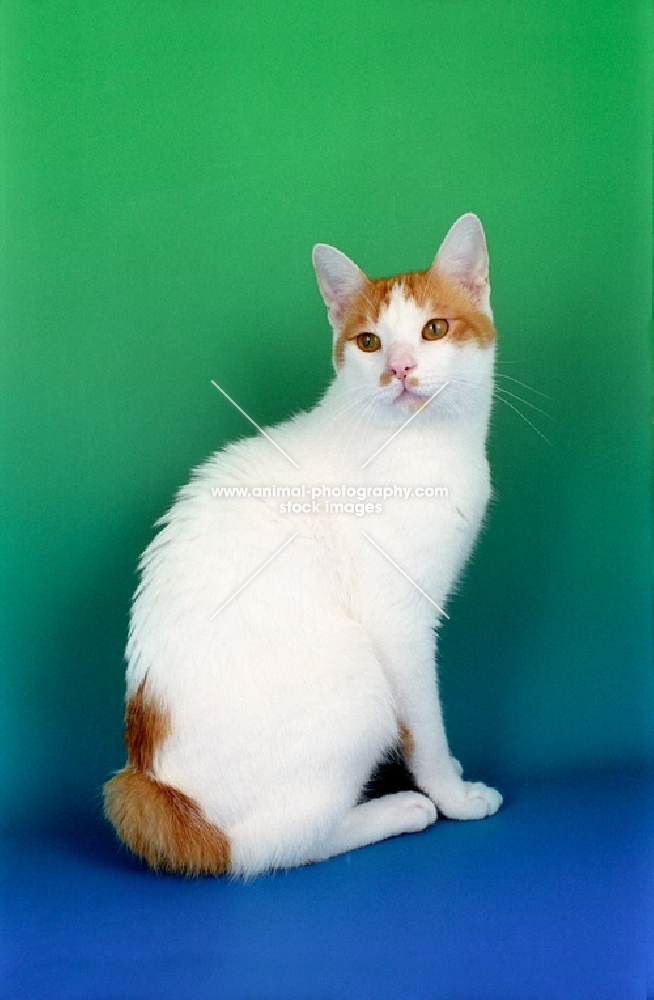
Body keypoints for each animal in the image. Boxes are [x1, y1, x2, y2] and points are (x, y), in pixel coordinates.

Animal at [104, 213, 502, 876]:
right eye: (368, 343)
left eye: (435, 329)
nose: (399, 368)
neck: (423, 446)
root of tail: (159, 788)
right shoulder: (398, 622)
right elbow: (426, 726)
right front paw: (452, 794)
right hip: (362, 686)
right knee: (279, 845)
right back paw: (398, 811)